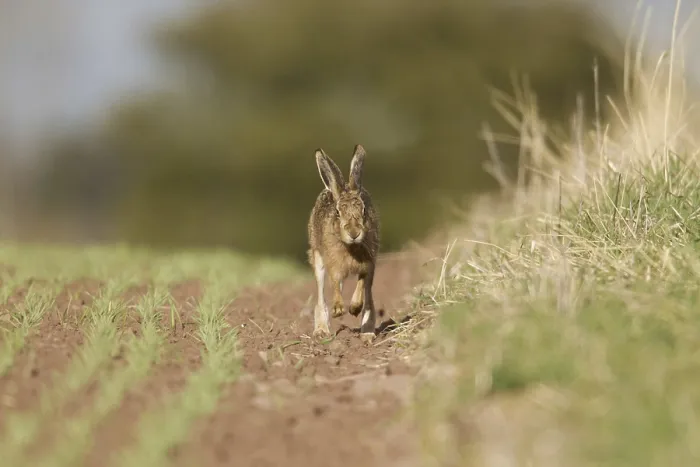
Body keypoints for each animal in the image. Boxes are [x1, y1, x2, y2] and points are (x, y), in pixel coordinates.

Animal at [307, 144, 380, 342]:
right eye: (338, 213)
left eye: (364, 211)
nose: (354, 233)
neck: (351, 247)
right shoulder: (333, 264)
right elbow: (335, 283)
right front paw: (339, 309)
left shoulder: (368, 264)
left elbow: (361, 285)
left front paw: (353, 307)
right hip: (318, 259)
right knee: (321, 295)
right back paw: (321, 330)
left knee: (369, 299)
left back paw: (367, 332)